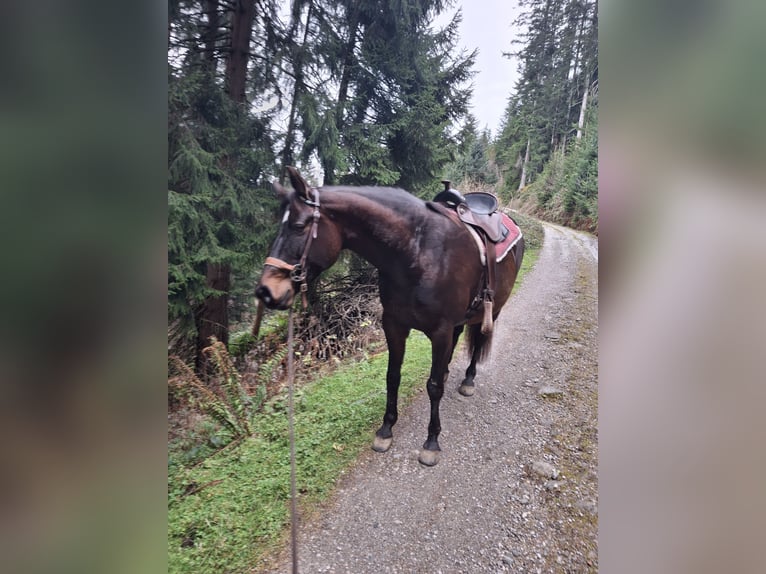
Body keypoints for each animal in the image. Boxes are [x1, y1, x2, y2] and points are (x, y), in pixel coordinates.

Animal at [255, 168, 524, 468]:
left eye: (300, 226)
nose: (266, 291)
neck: (417, 253)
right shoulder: (394, 325)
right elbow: (392, 377)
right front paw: (385, 430)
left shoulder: (439, 332)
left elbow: (433, 387)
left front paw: (431, 442)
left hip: (493, 311)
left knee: (478, 343)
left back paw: (468, 380)